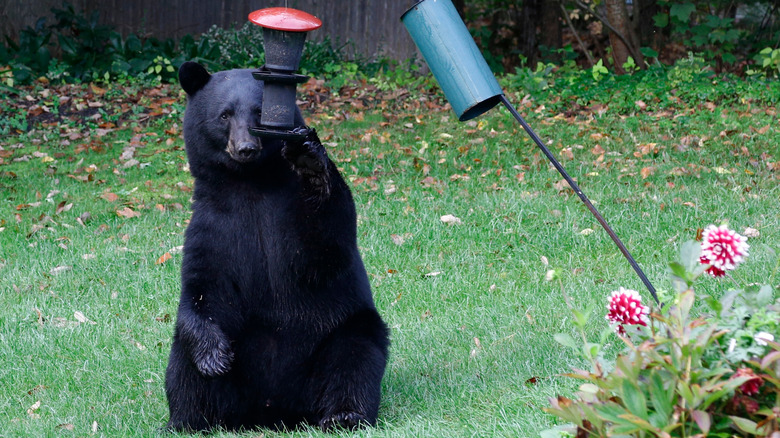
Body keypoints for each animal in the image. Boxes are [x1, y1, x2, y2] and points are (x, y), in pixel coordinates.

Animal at [165, 61, 390, 433]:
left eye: (259, 112)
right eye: (224, 115)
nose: (246, 147)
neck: (250, 184)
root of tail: (274, 413)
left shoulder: (288, 210)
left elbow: (324, 249)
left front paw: (311, 162)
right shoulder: (212, 227)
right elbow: (203, 287)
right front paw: (213, 356)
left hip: (341, 331)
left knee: (355, 359)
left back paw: (344, 414)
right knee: (184, 367)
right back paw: (186, 421)